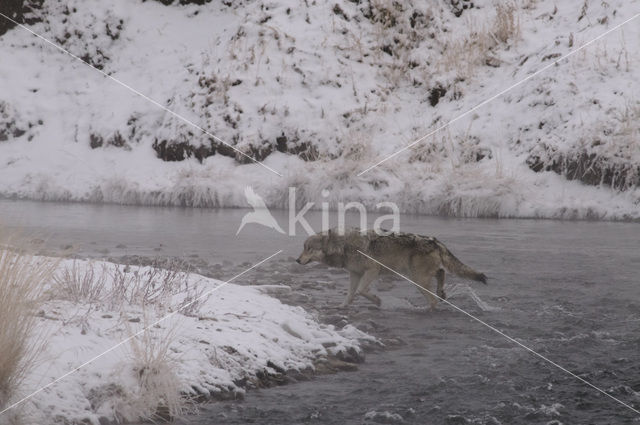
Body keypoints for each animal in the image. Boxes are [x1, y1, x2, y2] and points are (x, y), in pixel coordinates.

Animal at [298, 229, 488, 308]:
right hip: (418, 276)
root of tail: (434, 240)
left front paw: (377, 301)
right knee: (441, 273)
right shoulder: (355, 274)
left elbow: (361, 291)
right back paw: (442, 293)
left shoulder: (372, 271)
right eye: (304, 247)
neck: (343, 246)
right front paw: (342, 306)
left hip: (417, 279)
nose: (297, 260)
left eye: (308, 248)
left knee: (433, 297)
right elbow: (351, 294)